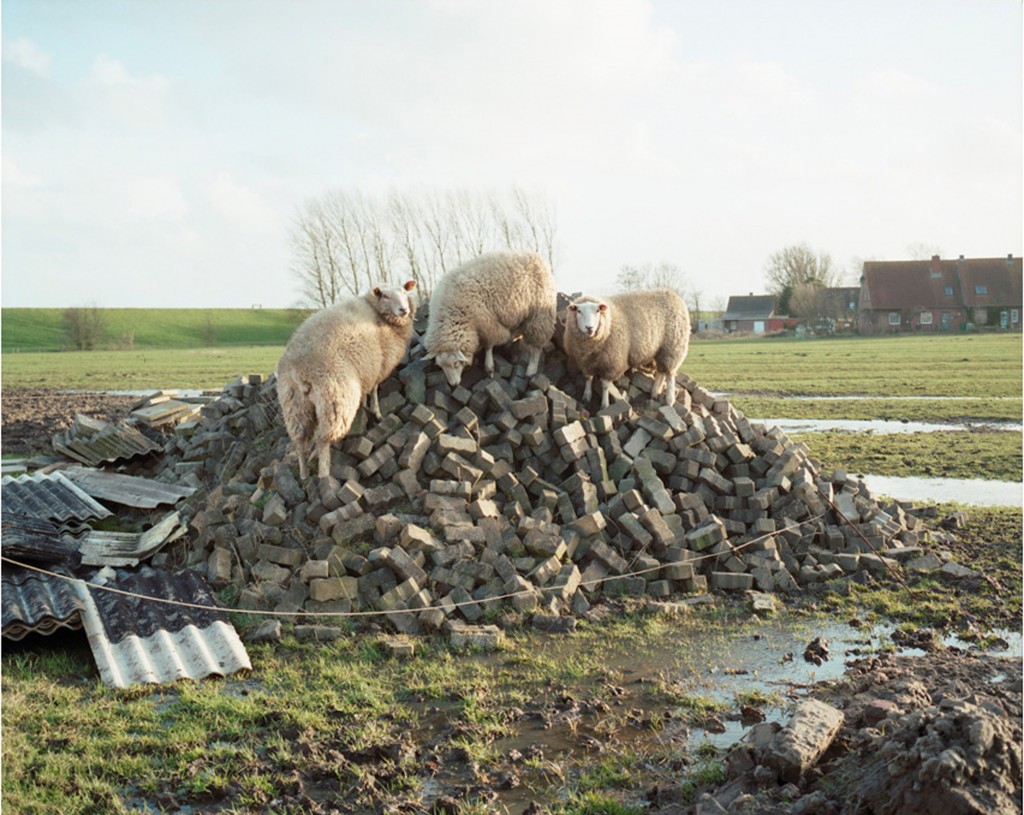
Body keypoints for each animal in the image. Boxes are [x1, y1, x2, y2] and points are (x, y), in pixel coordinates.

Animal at [276, 282, 415, 481]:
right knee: (322, 440)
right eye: (386, 296)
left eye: (404, 292)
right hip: (335, 400)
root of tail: (299, 372)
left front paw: (364, 405)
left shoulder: (367, 370)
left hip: (294, 406)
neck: (376, 311)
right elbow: (374, 389)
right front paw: (376, 412)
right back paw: (324, 474)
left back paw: (303, 474)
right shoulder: (379, 365)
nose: (404, 309)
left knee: (300, 442)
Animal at [419, 249, 557, 387]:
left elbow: (489, 345)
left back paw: (531, 370)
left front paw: (489, 368)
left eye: (456, 363)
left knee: (537, 345)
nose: (454, 384)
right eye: (440, 366)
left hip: (539, 314)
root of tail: (536, 256)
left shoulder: (487, 323)